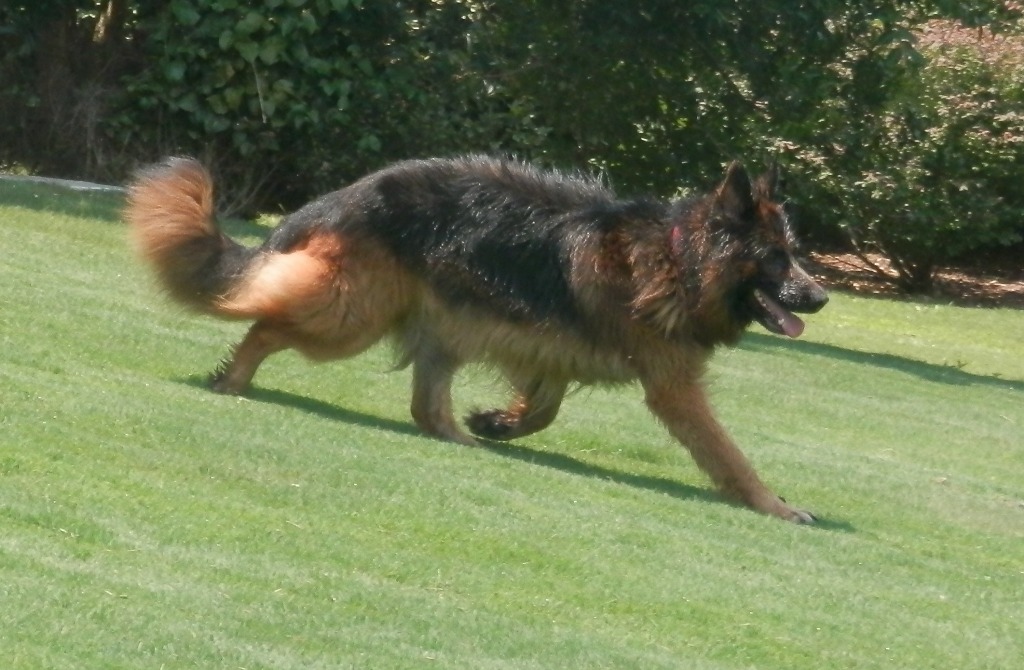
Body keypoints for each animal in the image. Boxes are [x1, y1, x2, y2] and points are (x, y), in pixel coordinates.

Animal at [130, 155, 831, 524]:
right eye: (775, 258)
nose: (822, 298)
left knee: (424, 402)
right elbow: (726, 451)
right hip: (350, 317)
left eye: (794, 253)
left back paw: (455, 435)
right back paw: (233, 378)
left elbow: (544, 409)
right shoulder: (673, 386)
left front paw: (499, 421)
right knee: (266, 322)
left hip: (443, 325)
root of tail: (343, 196)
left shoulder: (548, 349)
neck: (679, 257)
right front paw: (772, 503)